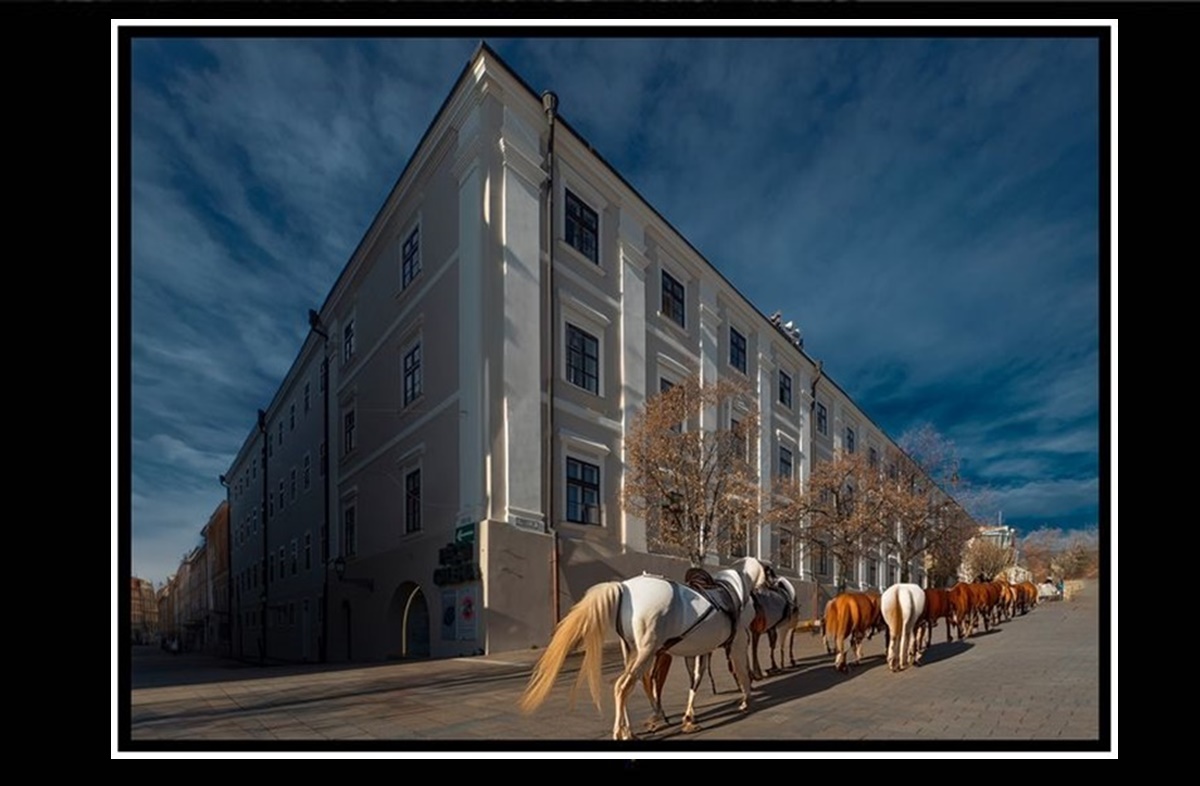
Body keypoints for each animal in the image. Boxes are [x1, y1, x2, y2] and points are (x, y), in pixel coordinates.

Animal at [518, 556, 768, 739]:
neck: (734, 591)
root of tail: (623, 587)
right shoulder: (737, 643)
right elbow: (740, 671)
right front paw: (745, 700)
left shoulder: (697, 649)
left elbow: (695, 679)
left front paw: (689, 719)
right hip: (645, 653)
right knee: (622, 686)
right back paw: (623, 733)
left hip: (633, 652)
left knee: (629, 686)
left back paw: (630, 730)